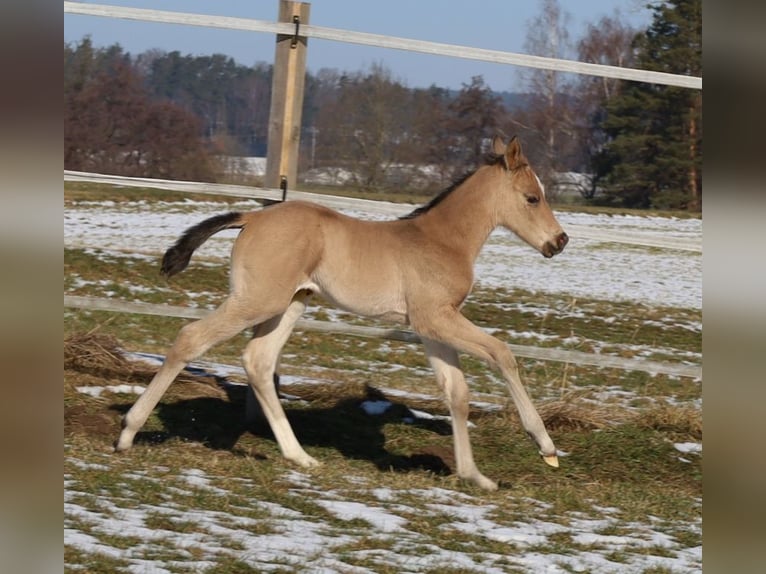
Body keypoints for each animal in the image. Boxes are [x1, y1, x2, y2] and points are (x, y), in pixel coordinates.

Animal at [115, 135, 569, 491]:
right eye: (532, 198)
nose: (559, 241)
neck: (441, 240)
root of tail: (253, 216)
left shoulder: (431, 328)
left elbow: (456, 391)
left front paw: (475, 476)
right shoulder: (435, 319)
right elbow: (501, 353)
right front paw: (545, 446)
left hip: (292, 303)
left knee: (258, 361)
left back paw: (299, 456)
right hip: (259, 300)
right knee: (191, 337)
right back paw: (128, 433)